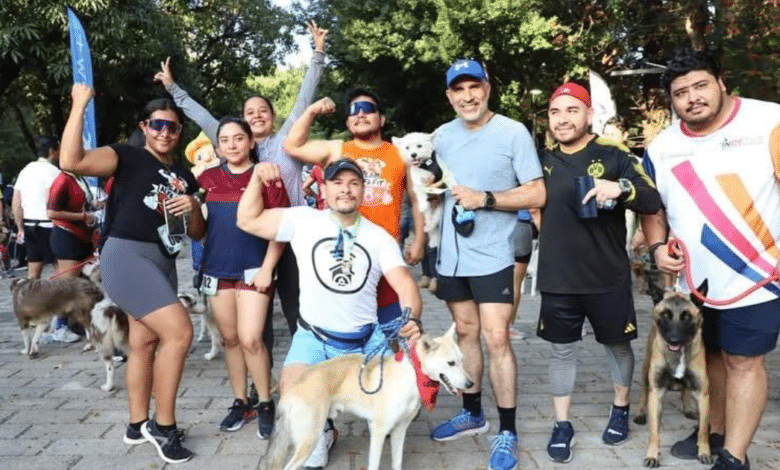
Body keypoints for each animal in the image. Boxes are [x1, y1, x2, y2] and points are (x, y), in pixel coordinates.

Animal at [268, 324, 472, 470]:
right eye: (451, 363)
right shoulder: (379, 431)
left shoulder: (399, 430)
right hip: (309, 438)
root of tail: (291, 389)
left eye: (462, 360)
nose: (470, 384)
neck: (413, 375)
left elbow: (397, 463)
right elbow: (374, 464)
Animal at [632, 280, 712, 466]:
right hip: (646, 373)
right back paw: (639, 414)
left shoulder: (703, 395)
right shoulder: (655, 394)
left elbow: (703, 430)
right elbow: (654, 432)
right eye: (666, 315)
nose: (674, 340)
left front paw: (704, 452)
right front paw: (652, 455)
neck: (678, 354)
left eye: (687, 317)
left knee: (684, 390)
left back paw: (688, 408)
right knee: (643, 393)